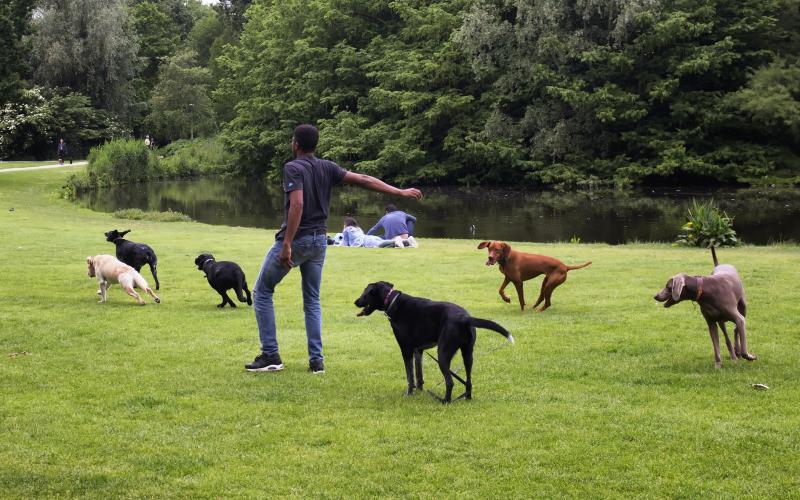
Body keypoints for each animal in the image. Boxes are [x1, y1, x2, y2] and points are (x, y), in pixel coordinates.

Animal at [354, 282, 516, 402]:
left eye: (365, 293)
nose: (355, 302)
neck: (392, 301)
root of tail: (465, 318)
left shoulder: (406, 350)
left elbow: (409, 376)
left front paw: (409, 394)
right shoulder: (418, 350)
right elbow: (419, 374)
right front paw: (420, 391)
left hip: (443, 354)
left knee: (450, 382)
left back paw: (445, 401)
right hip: (468, 355)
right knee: (468, 380)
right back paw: (467, 398)